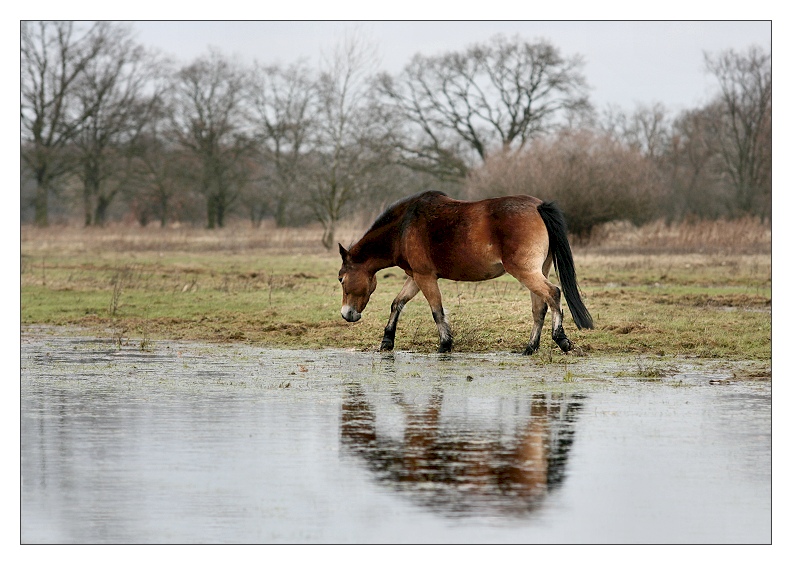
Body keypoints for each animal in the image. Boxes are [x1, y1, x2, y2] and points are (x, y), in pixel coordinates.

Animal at [336, 192, 592, 354]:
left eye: (341, 279)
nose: (346, 314)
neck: (403, 227)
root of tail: (539, 206)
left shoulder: (425, 277)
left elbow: (437, 311)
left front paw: (445, 345)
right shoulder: (416, 276)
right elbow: (397, 303)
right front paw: (387, 341)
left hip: (526, 272)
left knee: (554, 294)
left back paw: (561, 339)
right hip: (538, 270)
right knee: (540, 308)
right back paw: (530, 348)